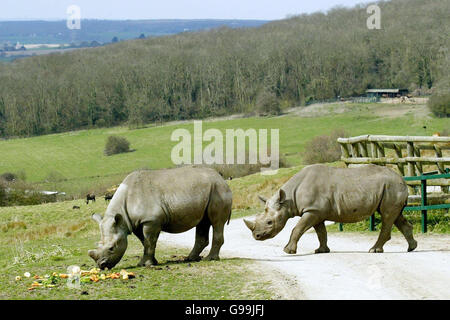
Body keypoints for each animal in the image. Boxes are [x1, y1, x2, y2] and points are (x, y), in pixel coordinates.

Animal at [90, 166, 234, 268]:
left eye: (111, 248)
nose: (101, 265)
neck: (122, 214)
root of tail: (222, 179)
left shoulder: (151, 220)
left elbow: (149, 241)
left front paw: (147, 264)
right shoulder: (136, 223)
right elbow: (145, 242)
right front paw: (149, 262)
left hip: (218, 190)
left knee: (216, 223)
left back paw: (210, 259)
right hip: (209, 190)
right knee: (203, 222)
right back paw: (190, 258)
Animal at [244, 164, 416, 254]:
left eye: (269, 222)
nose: (256, 236)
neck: (288, 199)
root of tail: (402, 179)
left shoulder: (312, 210)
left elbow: (297, 228)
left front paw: (288, 251)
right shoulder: (316, 211)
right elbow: (321, 232)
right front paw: (321, 250)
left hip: (392, 187)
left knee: (387, 216)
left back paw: (373, 250)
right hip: (391, 188)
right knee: (395, 216)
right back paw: (411, 248)